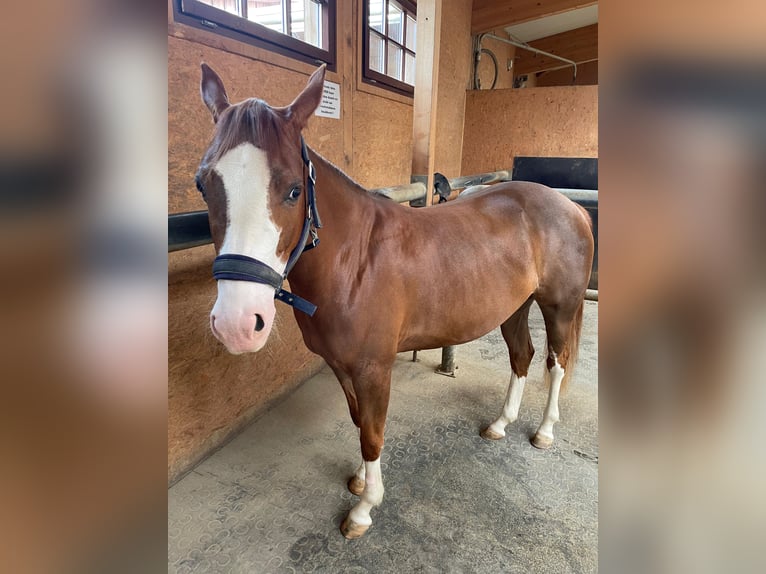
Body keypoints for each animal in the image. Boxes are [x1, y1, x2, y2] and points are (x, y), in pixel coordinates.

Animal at [195, 63, 594, 539]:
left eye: (293, 190)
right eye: (203, 185)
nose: (237, 324)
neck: (355, 261)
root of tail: (571, 207)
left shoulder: (373, 368)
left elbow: (372, 432)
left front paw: (364, 509)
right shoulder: (343, 366)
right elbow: (359, 422)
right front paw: (359, 480)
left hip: (559, 308)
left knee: (557, 362)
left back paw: (544, 432)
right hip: (514, 307)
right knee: (522, 356)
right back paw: (500, 424)